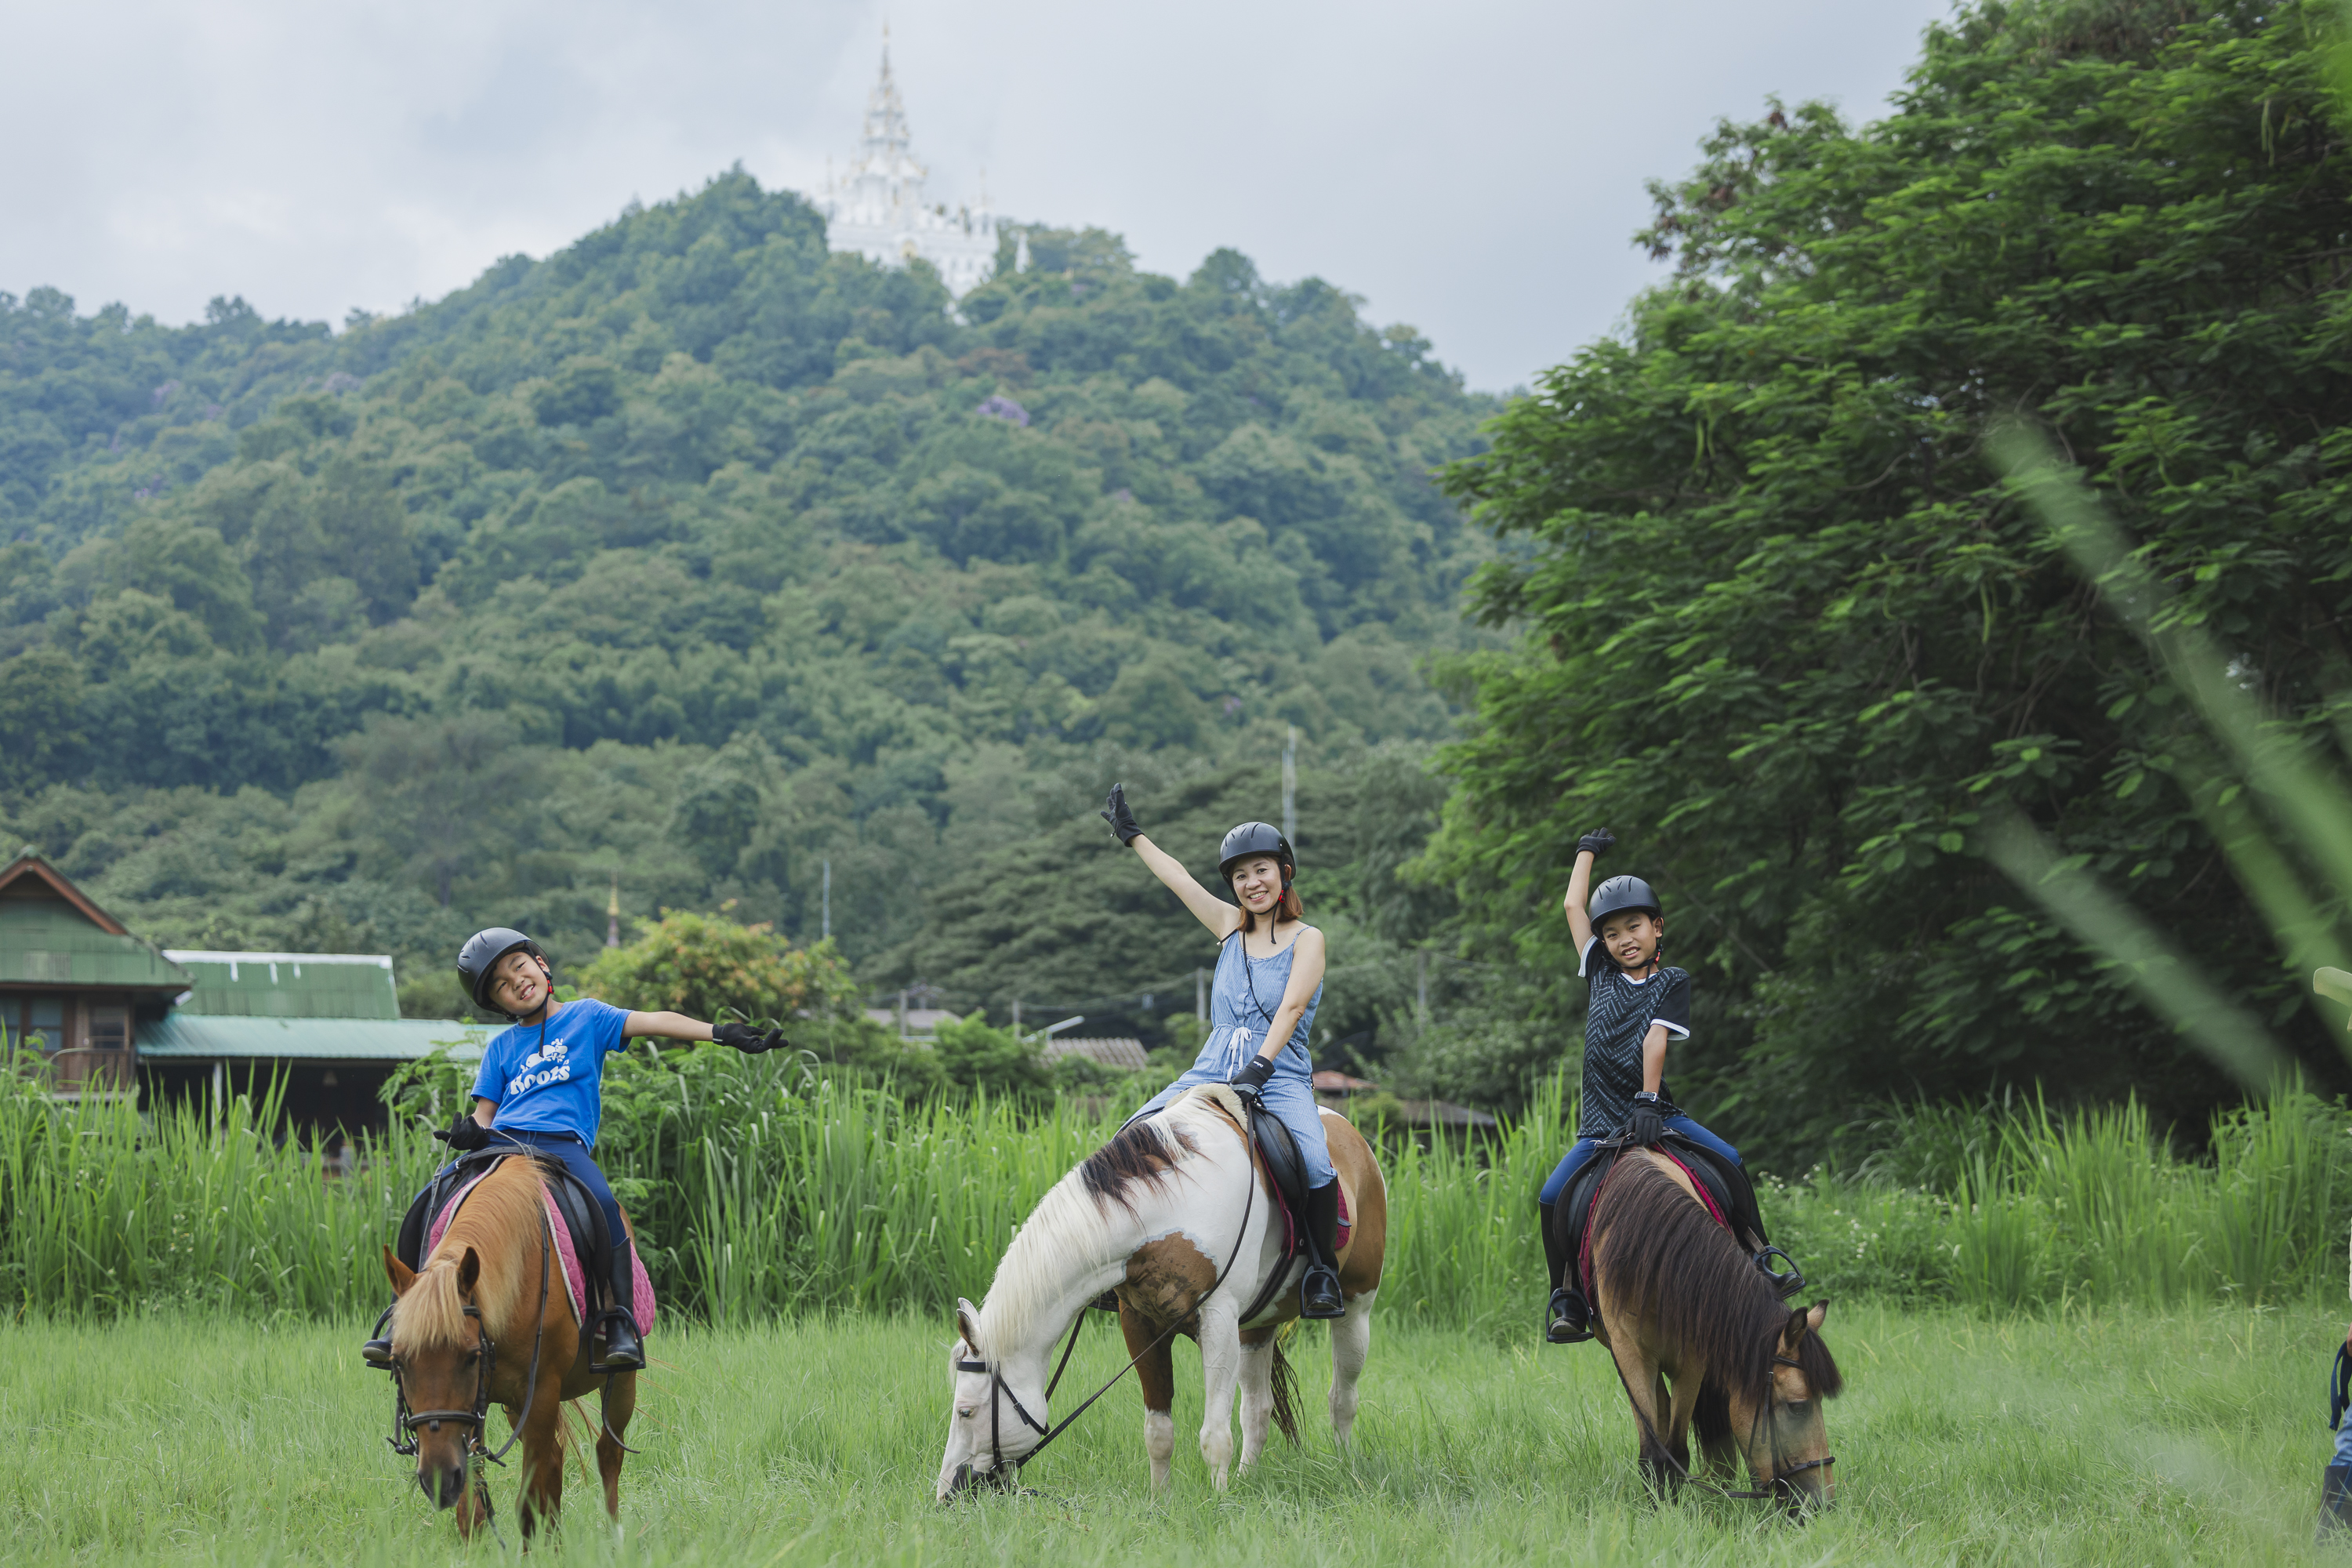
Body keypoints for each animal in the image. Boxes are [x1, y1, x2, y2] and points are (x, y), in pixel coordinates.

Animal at [380, 1155, 638, 1539]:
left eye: (471, 1358)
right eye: (399, 1361)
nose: (439, 1479)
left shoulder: (541, 1393)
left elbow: (528, 1504)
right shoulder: (474, 1411)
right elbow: (472, 1513)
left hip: (620, 1384)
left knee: (608, 1453)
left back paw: (612, 1537)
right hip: (515, 1406)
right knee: (555, 1462)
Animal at [935, 1084, 1387, 1499]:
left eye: (966, 1412)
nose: (946, 1494)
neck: (1170, 1212)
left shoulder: (1218, 1320)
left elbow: (1214, 1434)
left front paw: (1220, 1505)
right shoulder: (1141, 1323)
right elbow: (1158, 1430)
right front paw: (1160, 1502)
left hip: (1356, 1309)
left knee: (1342, 1397)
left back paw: (1345, 1470)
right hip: (1254, 1328)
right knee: (1257, 1410)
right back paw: (1247, 1480)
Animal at [1581, 1147, 1842, 1512]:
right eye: (1798, 1406)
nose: (1822, 1504)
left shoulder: (1693, 1359)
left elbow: (1677, 1448)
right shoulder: (1629, 1354)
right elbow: (1654, 1451)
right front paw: (1660, 1511)